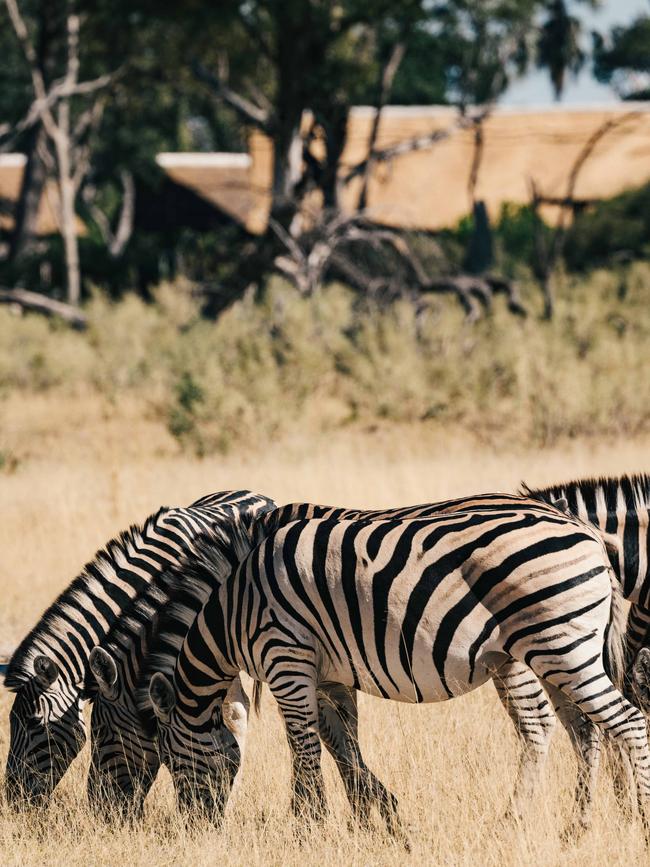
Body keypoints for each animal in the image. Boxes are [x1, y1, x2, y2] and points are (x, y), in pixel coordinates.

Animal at [143, 508, 648, 840]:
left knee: (628, 722)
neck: (234, 607)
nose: (193, 831)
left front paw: (308, 826)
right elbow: (344, 742)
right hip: (531, 652)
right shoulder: (328, 675)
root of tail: (587, 533)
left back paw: (638, 820)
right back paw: (550, 826)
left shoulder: (286, 657)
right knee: (565, 729)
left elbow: (304, 747)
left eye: (167, 756)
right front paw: (373, 817)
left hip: (560, 646)